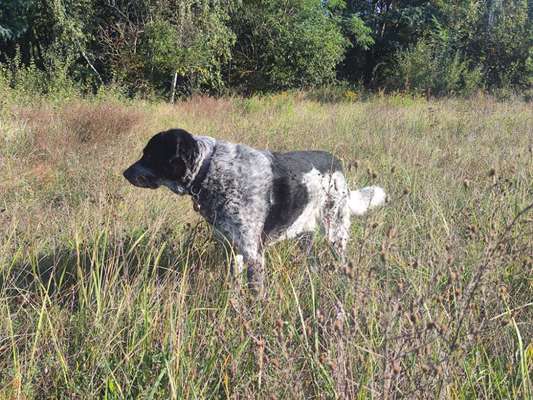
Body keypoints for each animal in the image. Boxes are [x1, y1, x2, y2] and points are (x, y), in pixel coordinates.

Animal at [122, 130, 384, 296]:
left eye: (149, 154)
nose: (124, 173)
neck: (210, 171)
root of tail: (337, 163)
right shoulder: (232, 246)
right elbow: (235, 285)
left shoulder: (253, 252)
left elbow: (255, 293)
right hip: (305, 235)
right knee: (314, 263)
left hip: (335, 232)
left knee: (342, 261)